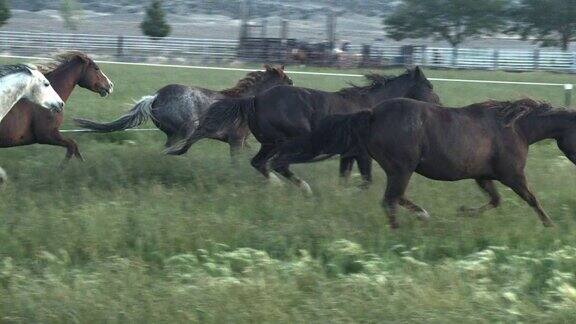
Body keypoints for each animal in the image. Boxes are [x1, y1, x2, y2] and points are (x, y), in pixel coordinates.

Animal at [166, 67, 440, 191]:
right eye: (429, 85)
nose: (439, 104)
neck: (371, 106)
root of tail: (254, 99)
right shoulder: (362, 154)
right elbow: (366, 179)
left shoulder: (348, 154)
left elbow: (345, 177)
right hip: (291, 141)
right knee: (277, 164)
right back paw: (302, 187)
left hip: (270, 142)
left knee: (260, 163)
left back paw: (278, 186)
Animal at [274, 98, 576, 228]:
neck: (517, 127)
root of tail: (372, 113)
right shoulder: (513, 175)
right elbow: (532, 199)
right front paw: (550, 226)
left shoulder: (482, 176)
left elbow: (494, 201)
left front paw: (464, 211)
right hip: (402, 169)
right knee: (390, 200)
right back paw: (401, 229)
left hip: (398, 170)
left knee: (395, 198)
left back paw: (421, 215)